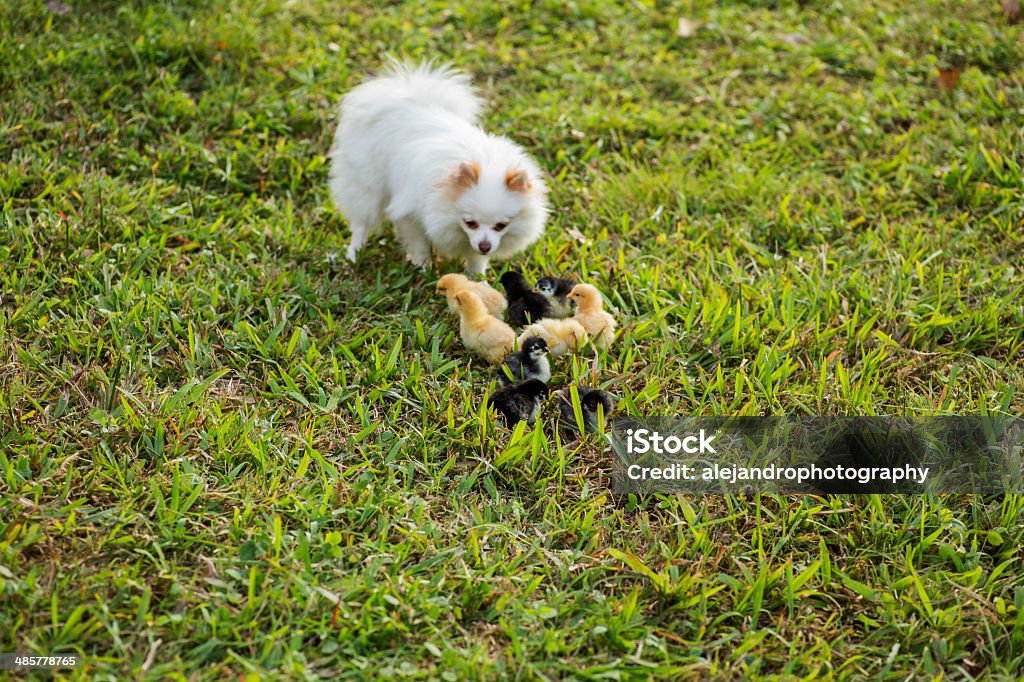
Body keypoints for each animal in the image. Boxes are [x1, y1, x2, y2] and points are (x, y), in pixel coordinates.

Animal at [329, 60, 552, 274]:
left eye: (501, 226)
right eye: (470, 223)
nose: (485, 245)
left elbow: (475, 260)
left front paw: (478, 279)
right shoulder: (411, 214)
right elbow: (420, 246)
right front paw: (423, 270)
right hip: (366, 186)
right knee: (362, 222)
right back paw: (354, 254)